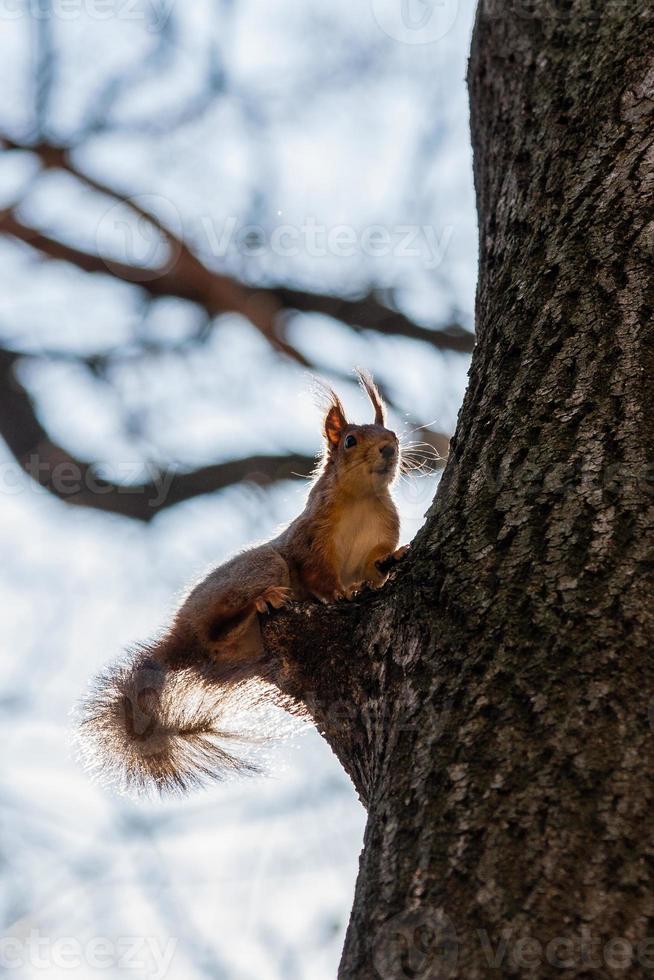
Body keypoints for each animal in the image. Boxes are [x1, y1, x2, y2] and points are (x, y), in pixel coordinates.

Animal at [74, 372, 408, 792]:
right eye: (350, 440)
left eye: (393, 433)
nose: (389, 449)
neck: (362, 498)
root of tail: (181, 637)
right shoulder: (308, 541)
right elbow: (317, 574)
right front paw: (338, 593)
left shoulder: (380, 535)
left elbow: (374, 566)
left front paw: (391, 562)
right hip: (262, 566)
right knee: (219, 628)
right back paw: (262, 602)